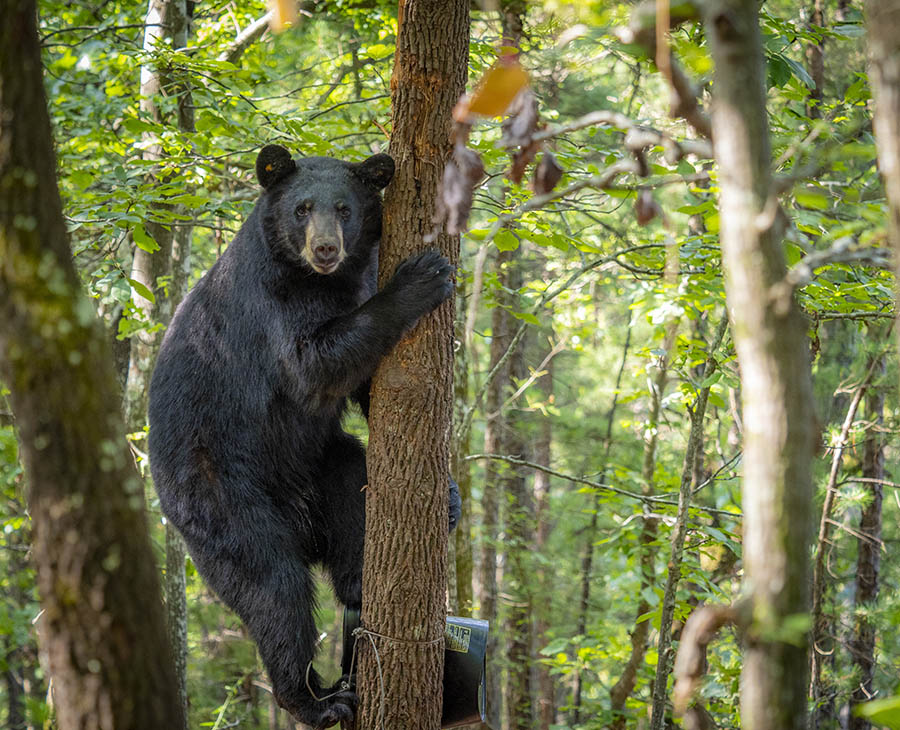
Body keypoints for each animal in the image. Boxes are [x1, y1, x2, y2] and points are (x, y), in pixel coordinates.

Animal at [148, 144, 460, 729]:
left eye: (344, 208)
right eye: (301, 208)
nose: (325, 248)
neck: (322, 280)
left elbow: (366, 384)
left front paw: (450, 492)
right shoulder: (272, 304)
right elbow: (315, 364)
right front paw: (424, 276)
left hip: (322, 464)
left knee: (355, 489)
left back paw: (364, 587)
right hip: (217, 494)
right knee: (274, 586)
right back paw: (315, 698)